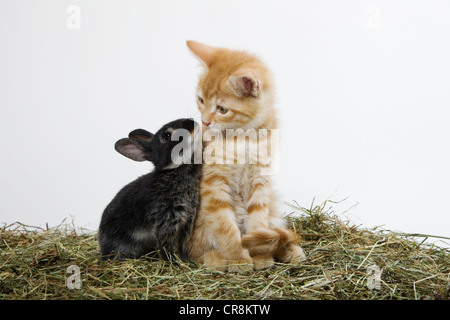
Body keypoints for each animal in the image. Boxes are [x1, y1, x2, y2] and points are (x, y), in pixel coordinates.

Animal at [101, 117, 203, 260]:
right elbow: (167, 246)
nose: (192, 122)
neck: (173, 170)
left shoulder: (187, 222)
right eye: (167, 136)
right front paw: (174, 262)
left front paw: (186, 260)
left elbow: (182, 245)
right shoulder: (166, 220)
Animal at [186, 40, 306, 270]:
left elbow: (258, 221)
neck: (244, 138)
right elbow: (224, 225)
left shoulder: (260, 181)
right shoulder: (213, 184)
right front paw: (238, 258)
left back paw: (289, 250)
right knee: (197, 252)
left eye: (222, 108)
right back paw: (215, 258)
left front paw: (260, 254)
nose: (205, 121)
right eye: (200, 100)